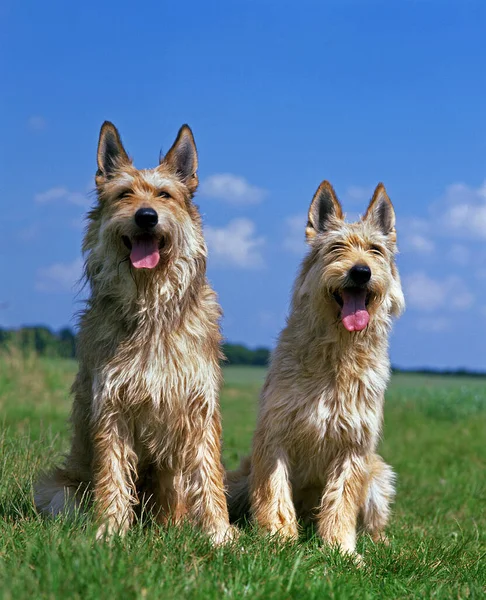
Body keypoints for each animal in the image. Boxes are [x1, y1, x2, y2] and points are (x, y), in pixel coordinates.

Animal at [33, 120, 234, 544]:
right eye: (124, 194)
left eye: (164, 195)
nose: (146, 216)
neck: (150, 305)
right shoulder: (111, 403)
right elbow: (111, 471)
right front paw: (109, 531)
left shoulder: (199, 404)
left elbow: (209, 472)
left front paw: (220, 534)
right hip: (57, 489)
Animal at [228, 180, 406, 556]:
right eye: (336, 247)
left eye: (375, 251)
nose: (361, 272)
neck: (336, 352)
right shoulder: (275, 435)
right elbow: (275, 494)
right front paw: (278, 539)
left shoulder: (353, 445)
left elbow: (341, 502)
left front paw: (342, 551)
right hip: (238, 480)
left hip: (379, 475)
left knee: (374, 520)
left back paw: (380, 542)